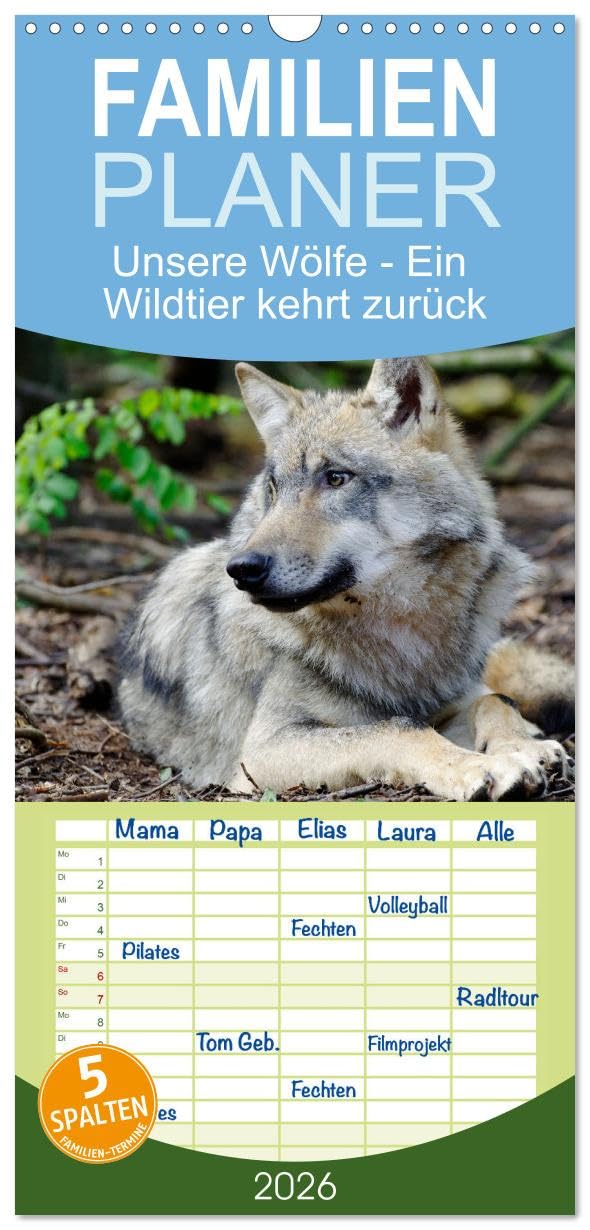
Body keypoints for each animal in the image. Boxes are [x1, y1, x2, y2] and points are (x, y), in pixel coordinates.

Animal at [118, 357, 574, 801]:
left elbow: (494, 700)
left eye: (336, 478)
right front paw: (481, 767)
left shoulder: (452, 698)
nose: (242, 569)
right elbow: (400, 729)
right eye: (274, 489)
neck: (400, 634)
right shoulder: (262, 752)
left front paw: (523, 748)